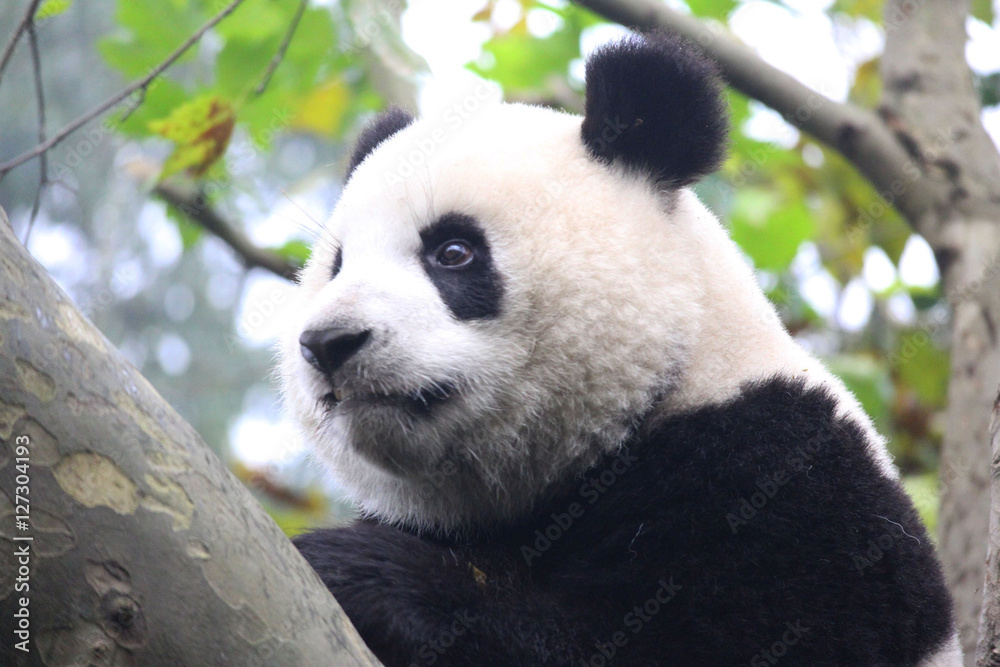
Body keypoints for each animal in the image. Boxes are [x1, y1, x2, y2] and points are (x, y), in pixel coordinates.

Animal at [280, 32, 959, 667]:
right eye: (337, 266)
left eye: (453, 251)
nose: (329, 343)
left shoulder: (792, 482)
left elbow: (682, 641)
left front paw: (361, 570)